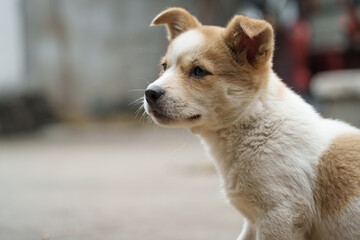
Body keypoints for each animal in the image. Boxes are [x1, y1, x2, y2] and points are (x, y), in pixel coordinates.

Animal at [143, 7, 360, 240]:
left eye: (199, 71)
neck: (257, 128)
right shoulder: (252, 222)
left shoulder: (279, 216)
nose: (150, 93)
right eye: (164, 67)